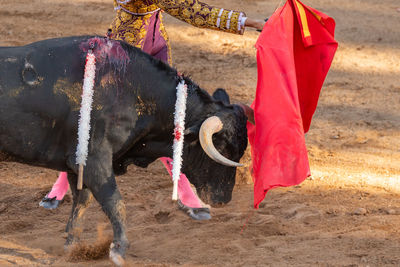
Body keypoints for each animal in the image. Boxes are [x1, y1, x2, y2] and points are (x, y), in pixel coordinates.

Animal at [0, 36, 250, 266]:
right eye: (222, 147)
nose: (224, 199)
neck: (132, 91)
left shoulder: (77, 164)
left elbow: (82, 202)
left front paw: (73, 246)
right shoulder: (95, 160)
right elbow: (115, 202)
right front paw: (118, 250)